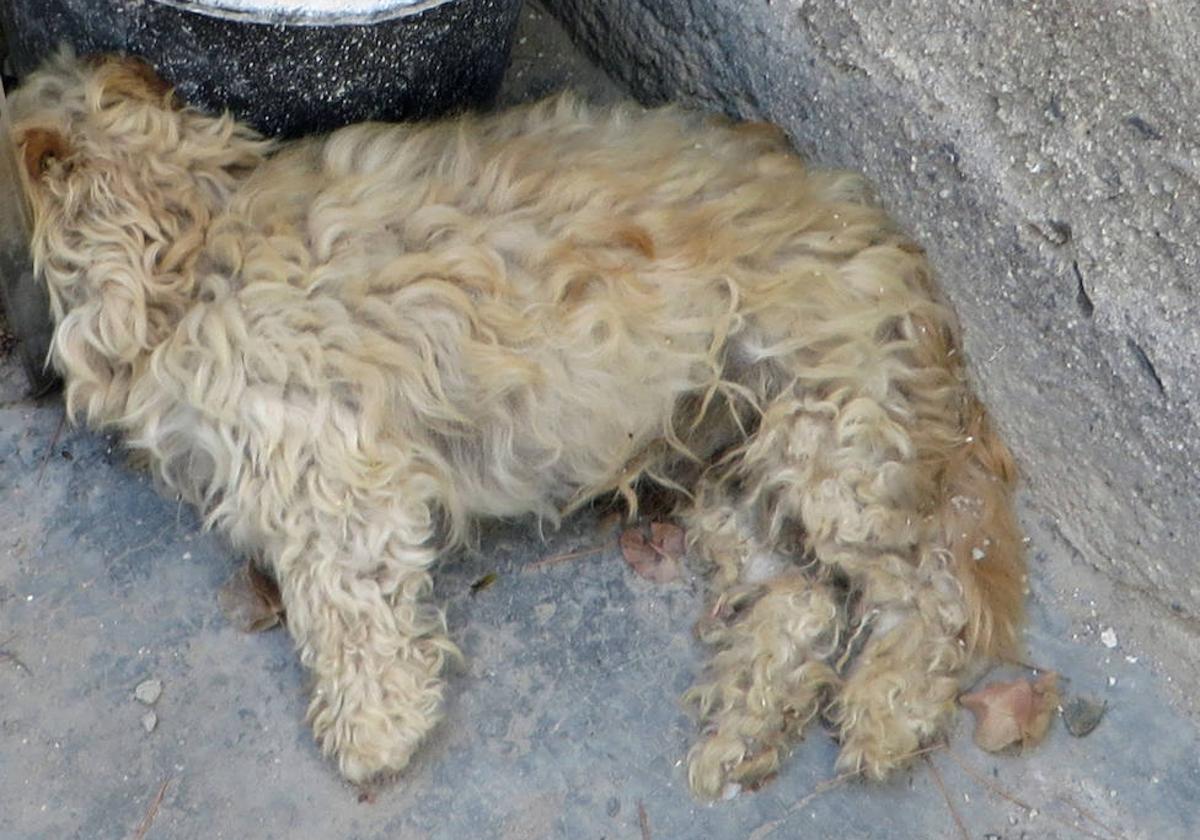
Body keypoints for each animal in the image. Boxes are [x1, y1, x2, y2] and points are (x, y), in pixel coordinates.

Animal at [7, 54, 1022, 801]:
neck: (186, 241)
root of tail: (901, 255)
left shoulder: (334, 471)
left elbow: (350, 611)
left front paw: (375, 729)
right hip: (736, 469)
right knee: (800, 601)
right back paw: (744, 728)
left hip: (829, 443)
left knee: (929, 592)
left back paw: (888, 707)